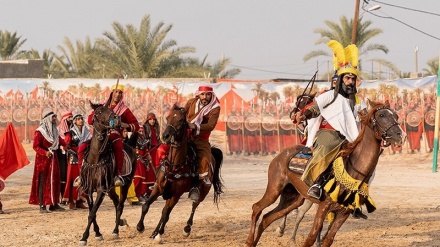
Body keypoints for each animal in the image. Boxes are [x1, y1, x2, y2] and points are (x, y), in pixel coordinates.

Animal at [77, 101, 136, 246]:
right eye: (98, 112)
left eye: (110, 110)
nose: (116, 118)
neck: (95, 158)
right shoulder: (88, 189)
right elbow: (91, 211)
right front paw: (97, 233)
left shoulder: (101, 189)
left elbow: (92, 213)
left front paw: (84, 237)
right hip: (110, 188)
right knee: (116, 201)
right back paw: (120, 222)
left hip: (125, 185)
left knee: (120, 205)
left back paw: (116, 230)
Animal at [136, 104, 225, 243]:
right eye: (168, 118)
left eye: (181, 120)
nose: (166, 136)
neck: (174, 166)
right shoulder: (159, 187)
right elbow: (147, 206)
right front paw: (140, 227)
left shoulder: (176, 194)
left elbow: (166, 214)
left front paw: (159, 233)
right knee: (165, 210)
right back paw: (156, 232)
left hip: (202, 191)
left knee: (194, 206)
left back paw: (186, 229)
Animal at [246, 100, 404, 247]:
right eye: (381, 115)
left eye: (396, 115)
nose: (399, 135)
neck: (352, 170)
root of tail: (280, 155)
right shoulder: (323, 207)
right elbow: (311, 238)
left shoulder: (343, 213)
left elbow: (328, 240)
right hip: (274, 189)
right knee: (257, 208)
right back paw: (249, 241)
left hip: (292, 199)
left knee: (267, 218)